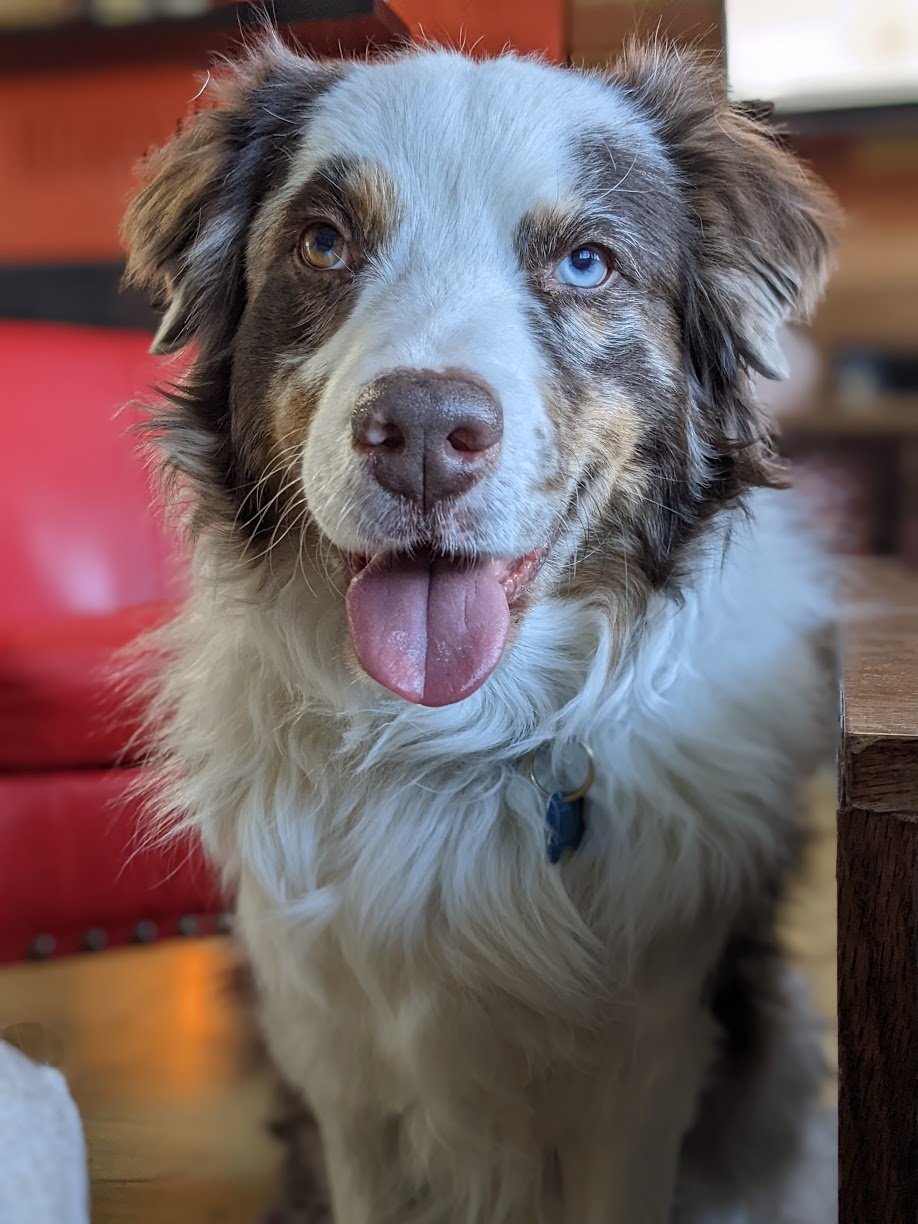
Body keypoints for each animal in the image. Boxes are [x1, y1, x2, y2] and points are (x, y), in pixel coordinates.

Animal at [124, 34, 839, 1224]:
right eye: (324, 243)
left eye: (587, 263)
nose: (420, 431)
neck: (457, 739)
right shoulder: (340, 1074)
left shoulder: (644, 1072)